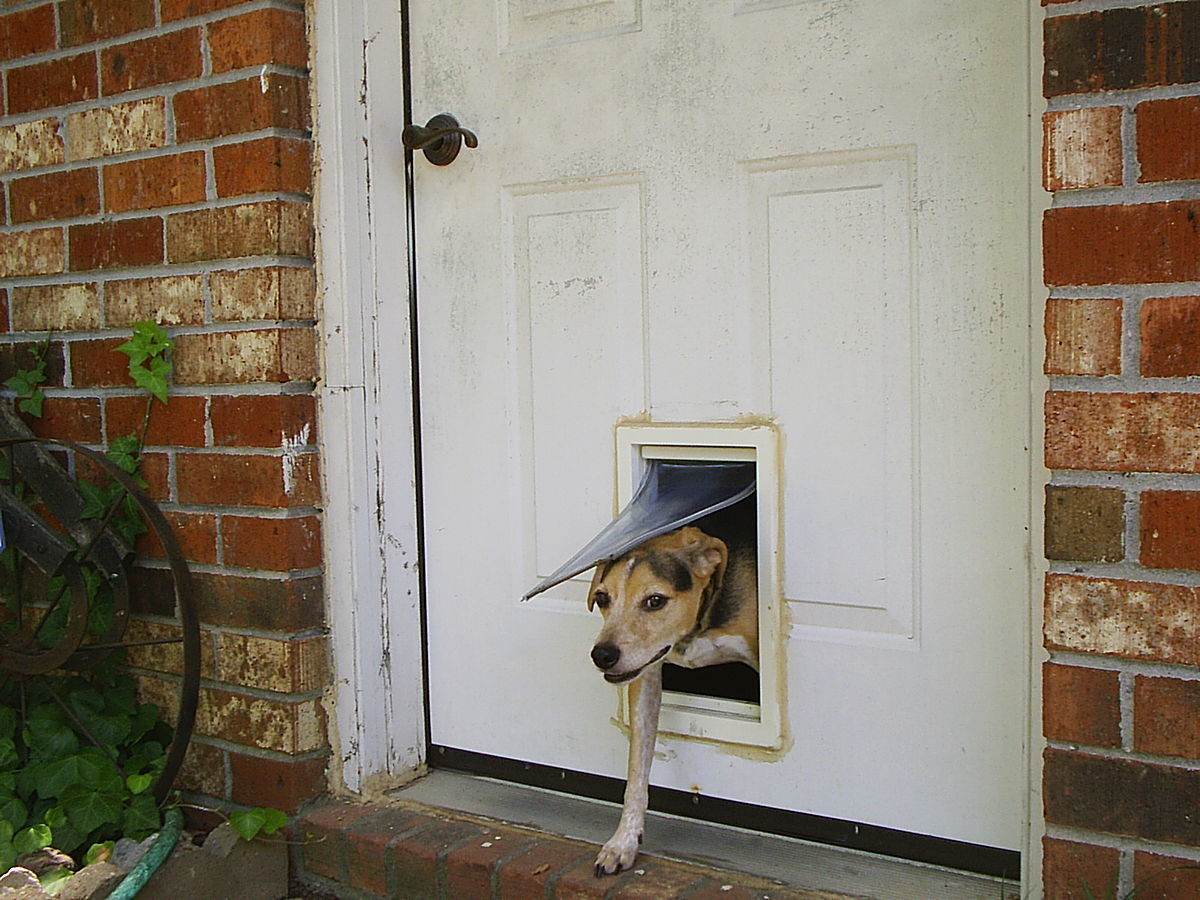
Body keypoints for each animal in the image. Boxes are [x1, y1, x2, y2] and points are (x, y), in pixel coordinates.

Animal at [583, 525, 758, 878]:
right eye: (603, 598)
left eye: (655, 600)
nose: (602, 655)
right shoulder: (644, 676)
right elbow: (637, 769)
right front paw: (623, 842)